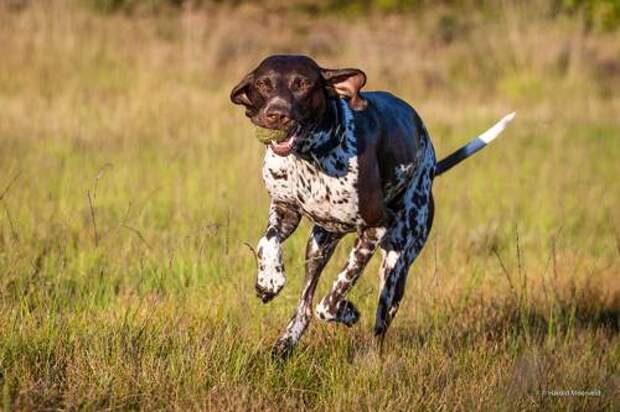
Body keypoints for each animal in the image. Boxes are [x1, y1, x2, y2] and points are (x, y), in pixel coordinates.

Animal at [230, 54, 516, 358]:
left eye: (302, 84)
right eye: (263, 84)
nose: (277, 113)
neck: (310, 156)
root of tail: (432, 163)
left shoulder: (374, 228)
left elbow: (333, 297)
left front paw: (347, 311)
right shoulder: (285, 210)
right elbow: (267, 242)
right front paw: (268, 280)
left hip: (395, 268)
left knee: (376, 326)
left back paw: (369, 356)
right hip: (319, 246)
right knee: (305, 305)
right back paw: (285, 343)